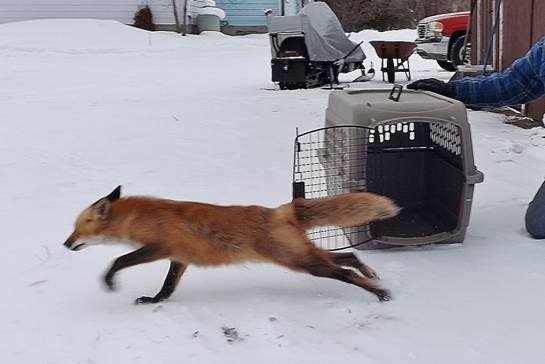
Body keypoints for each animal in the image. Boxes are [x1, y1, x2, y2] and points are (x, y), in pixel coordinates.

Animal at [63, 186, 400, 302]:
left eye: (77, 229)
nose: (66, 244)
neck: (141, 217)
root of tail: (280, 210)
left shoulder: (161, 248)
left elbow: (118, 261)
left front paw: (109, 281)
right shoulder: (179, 258)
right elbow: (168, 287)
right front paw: (155, 301)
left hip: (301, 262)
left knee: (344, 272)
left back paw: (379, 293)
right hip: (303, 256)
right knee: (348, 256)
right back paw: (371, 276)